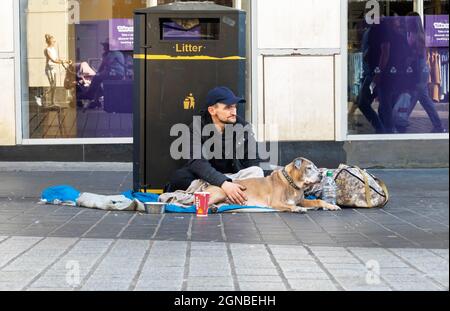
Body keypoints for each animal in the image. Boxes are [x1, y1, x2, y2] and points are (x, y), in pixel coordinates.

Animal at [205, 157, 342, 213]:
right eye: (309, 168)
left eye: (316, 167)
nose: (321, 175)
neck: (292, 184)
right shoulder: (276, 202)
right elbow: (290, 205)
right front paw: (298, 209)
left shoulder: (301, 200)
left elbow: (318, 201)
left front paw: (331, 205)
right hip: (220, 192)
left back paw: (215, 208)